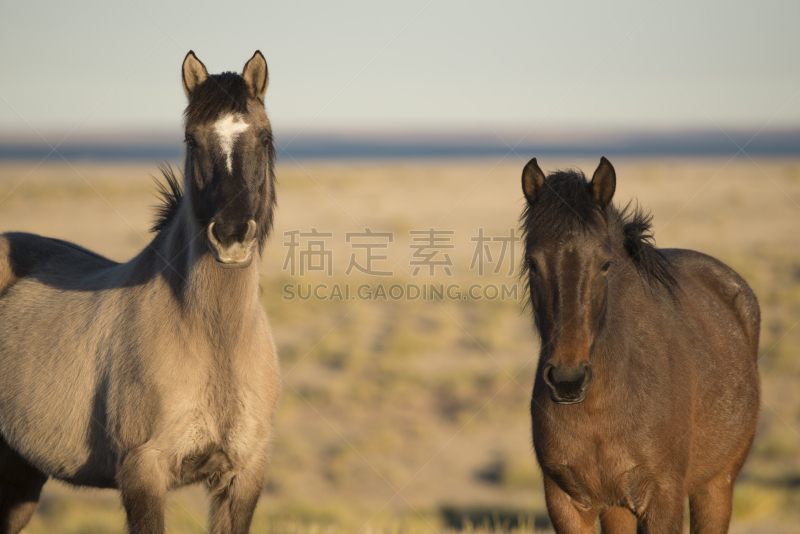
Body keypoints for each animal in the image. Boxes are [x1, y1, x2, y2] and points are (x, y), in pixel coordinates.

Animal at [0, 51, 282, 534]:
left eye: (264, 138)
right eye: (192, 140)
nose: (231, 235)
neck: (214, 341)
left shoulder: (243, 475)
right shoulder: (143, 472)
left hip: (19, 474)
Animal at [520, 157, 760, 532]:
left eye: (605, 264)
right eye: (532, 263)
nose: (567, 380)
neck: (600, 408)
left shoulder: (663, 500)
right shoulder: (567, 503)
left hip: (717, 485)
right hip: (618, 507)